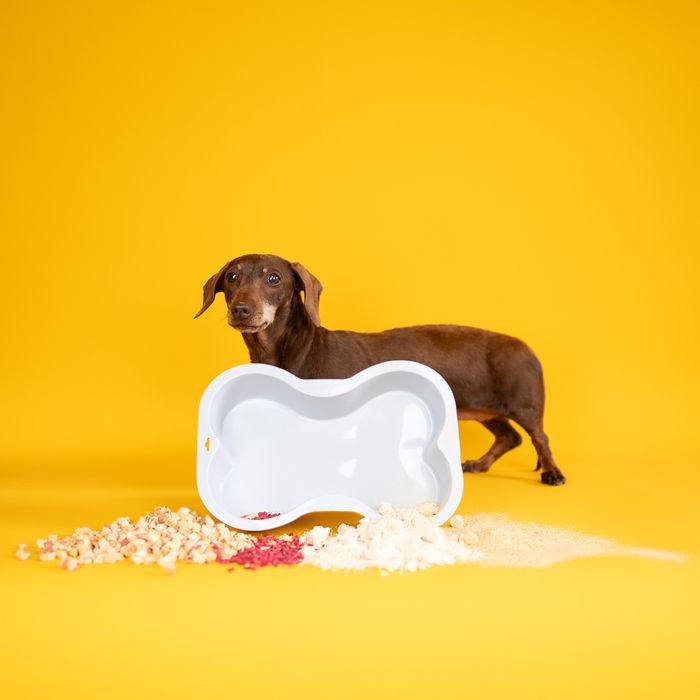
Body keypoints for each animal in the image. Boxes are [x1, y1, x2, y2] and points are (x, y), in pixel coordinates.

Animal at [194, 253, 568, 486]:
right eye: (232, 277)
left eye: (274, 278)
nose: (241, 310)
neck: (291, 349)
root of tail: (526, 348)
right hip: (482, 408)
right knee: (509, 437)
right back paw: (480, 463)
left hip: (523, 404)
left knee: (540, 437)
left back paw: (552, 473)